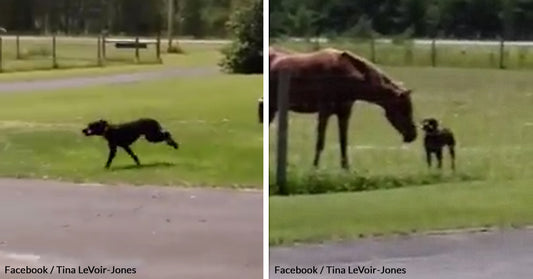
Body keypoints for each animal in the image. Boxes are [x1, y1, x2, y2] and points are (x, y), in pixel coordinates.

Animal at [264, 47, 418, 168]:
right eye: (403, 109)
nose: (412, 135)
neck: (343, 76)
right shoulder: (324, 112)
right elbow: (320, 142)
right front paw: (314, 169)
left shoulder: (344, 114)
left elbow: (343, 143)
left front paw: (346, 169)